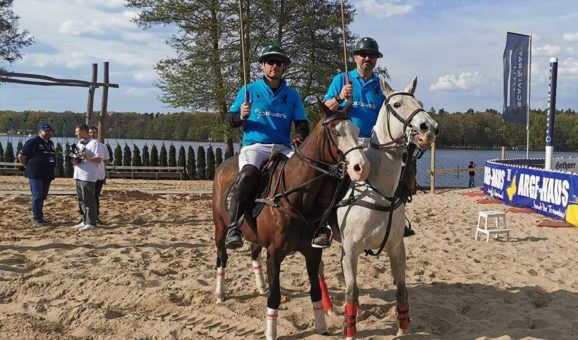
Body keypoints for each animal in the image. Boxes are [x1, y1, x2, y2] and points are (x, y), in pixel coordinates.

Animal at [212, 102, 368, 338]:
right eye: (336, 132)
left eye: (357, 131)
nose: (360, 167)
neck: (297, 195)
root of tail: (222, 166)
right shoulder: (275, 254)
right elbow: (275, 296)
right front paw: (271, 332)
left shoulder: (312, 252)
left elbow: (315, 289)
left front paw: (321, 326)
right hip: (220, 227)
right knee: (222, 256)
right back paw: (220, 293)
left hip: (254, 235)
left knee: (254, 254)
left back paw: (260, 286)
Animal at [326, 75, 434, 338]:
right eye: (396, 104)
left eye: (419, 102)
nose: (429, 128)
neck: (379, 194)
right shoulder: (351, 249)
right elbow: (351, 291)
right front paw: (349, 330)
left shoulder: (396, 247)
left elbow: (401, 290)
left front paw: (402, 329)